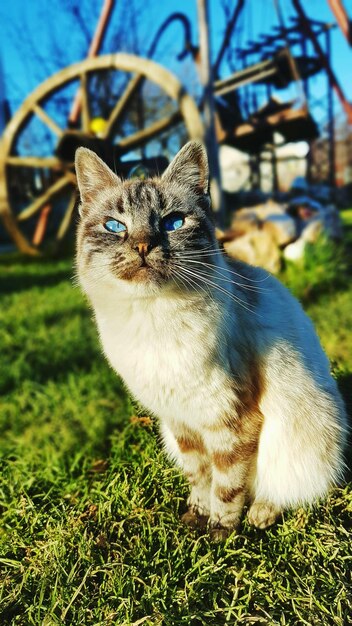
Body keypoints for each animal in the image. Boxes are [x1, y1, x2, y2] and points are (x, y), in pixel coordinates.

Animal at [74, 140, 346, 536]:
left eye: (172, 222)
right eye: (114, 226)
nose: (142, 246)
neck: (153, 319)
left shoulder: (231, 420)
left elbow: (227, 485)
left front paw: (220, 530)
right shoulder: (181, 422)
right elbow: (199, 476)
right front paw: (197, 515)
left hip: (302, 434)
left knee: (290, 489)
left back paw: (260, 514)